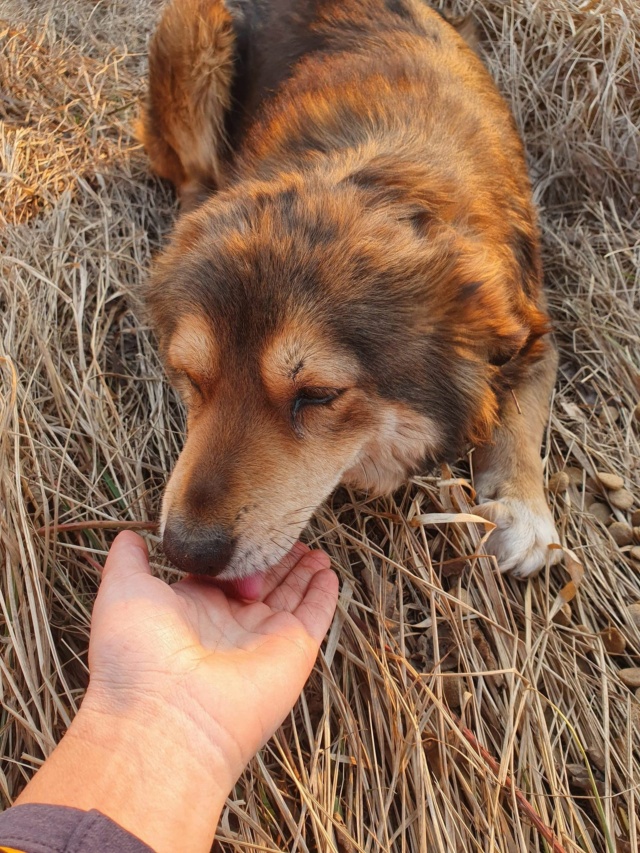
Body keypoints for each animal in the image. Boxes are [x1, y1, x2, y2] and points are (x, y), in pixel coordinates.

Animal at [139, 0, 560, 592]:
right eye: (192, 379)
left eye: (318, 395)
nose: (185, 552)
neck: (377, 181)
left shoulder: (532, 321)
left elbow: (524, 410)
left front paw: (523, 507)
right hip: (193, 32)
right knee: (191, 172)